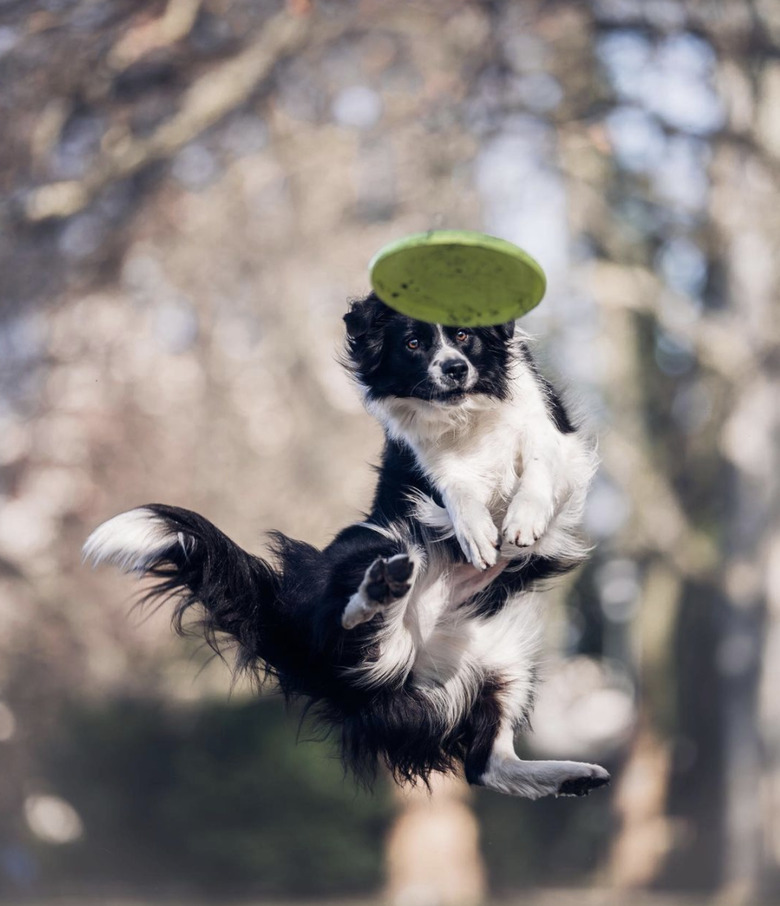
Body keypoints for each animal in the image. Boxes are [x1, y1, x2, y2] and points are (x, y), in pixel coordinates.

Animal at [85, 292, 608, 800]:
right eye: (413, 344)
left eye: (463, 335)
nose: (455, 368)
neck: (466, 413)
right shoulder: (425, 464)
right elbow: (455, 486)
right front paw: (476, 529)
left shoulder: (554, 435)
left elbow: (539, 463)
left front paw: (522, 519)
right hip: (377, 545)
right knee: (356, 626)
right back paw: (380, 590)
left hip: (507, 656)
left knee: (485, 763)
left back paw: (574, 775)